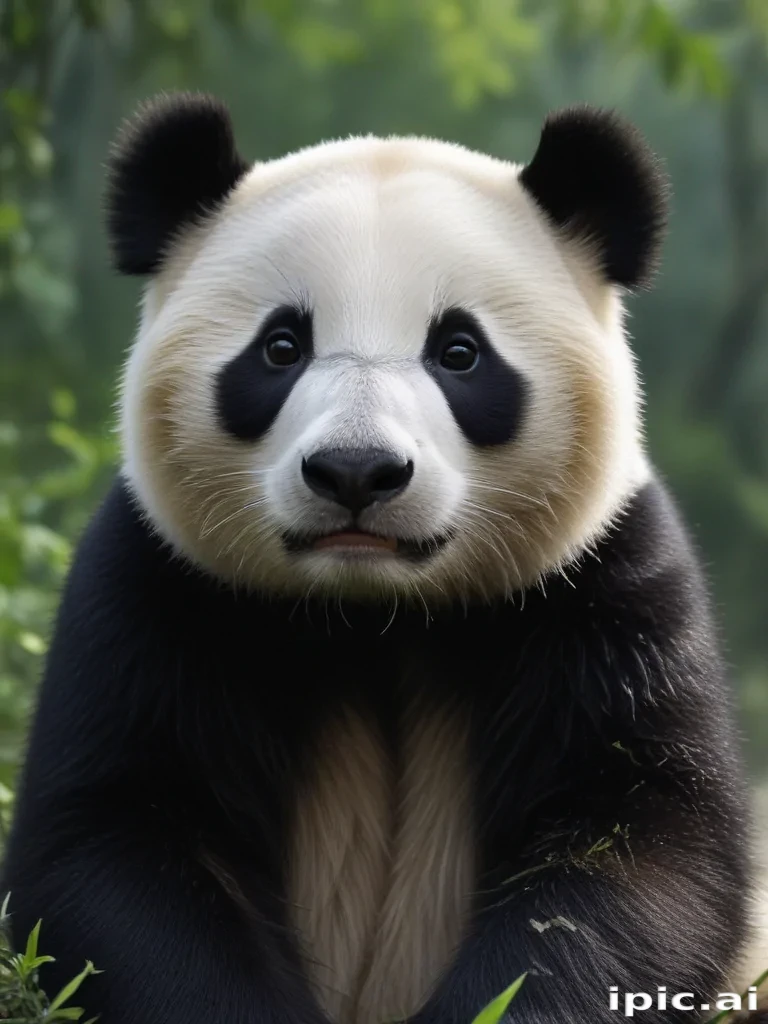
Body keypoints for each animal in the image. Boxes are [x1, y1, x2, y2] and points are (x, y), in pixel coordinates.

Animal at [1, 91, 766, 1024]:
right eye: (281, 347)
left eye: (460, 351)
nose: (356, 471)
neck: (375, 611)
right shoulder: (160, 585)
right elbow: (116, 845)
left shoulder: (604, 588)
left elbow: (636, 851)